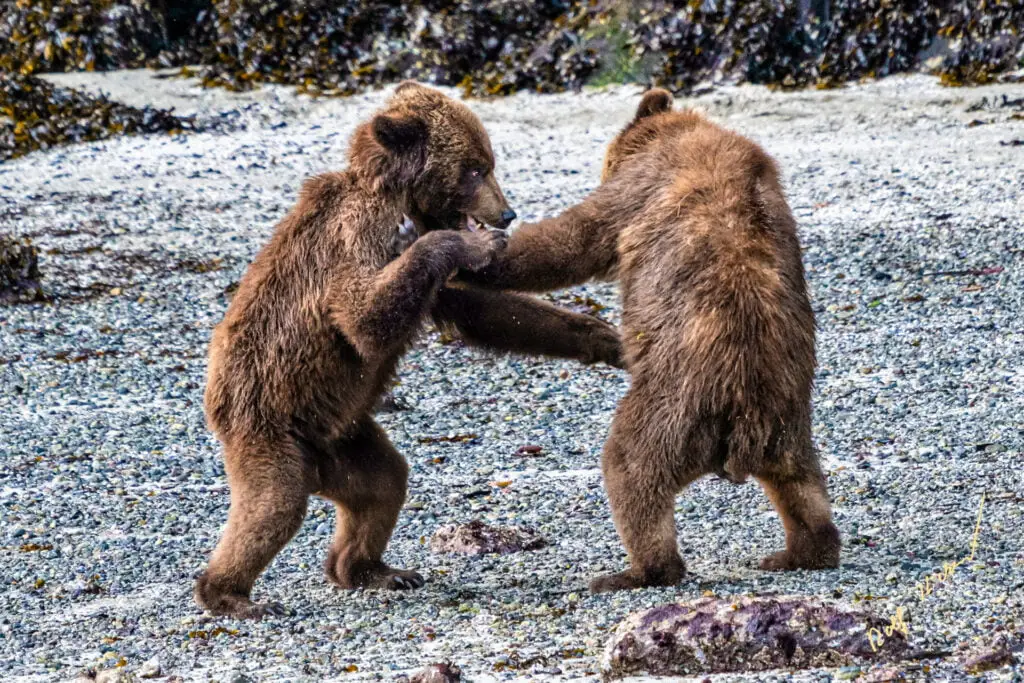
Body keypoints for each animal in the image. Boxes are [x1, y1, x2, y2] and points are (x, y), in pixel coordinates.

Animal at [195, 82, 623, 618]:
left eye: (489, 162)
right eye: (475, 168)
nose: (506, 214)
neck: (400, 198)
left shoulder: (431, 286)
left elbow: (487, 311)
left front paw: (607, 338)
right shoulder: (359, 234)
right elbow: (363, 316)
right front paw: (471, 244)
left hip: (344, 437)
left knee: (383, 483)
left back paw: (374, 570)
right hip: (269, 425)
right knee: (274, 503)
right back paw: (231, 595)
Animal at [461, 89, 841, 592]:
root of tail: (743, 416)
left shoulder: (638, 192)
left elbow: (572, 240)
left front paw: (484, 250)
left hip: (673, 411)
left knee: (631, 469)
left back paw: (635, 570)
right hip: (786, 421)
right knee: (802, 483)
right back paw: (803, 551)